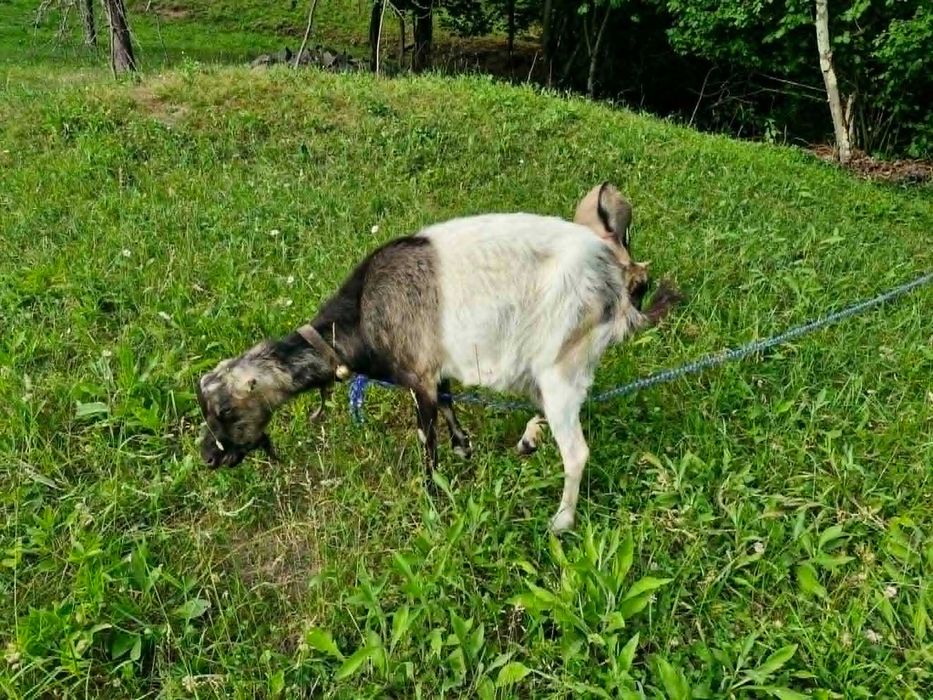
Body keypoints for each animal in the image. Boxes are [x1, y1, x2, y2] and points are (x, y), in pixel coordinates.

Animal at [195, 211, 679, 533]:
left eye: (225, 411)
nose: (207, 457)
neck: (363, 313)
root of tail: (619, 284)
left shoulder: (419, 377)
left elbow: (427, 443)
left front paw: (431, 496)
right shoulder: (438, 372)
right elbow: (450, 406)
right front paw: (464, 448)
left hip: (558, 362)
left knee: (576, 451)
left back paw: (561, 520)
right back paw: (528, 440)